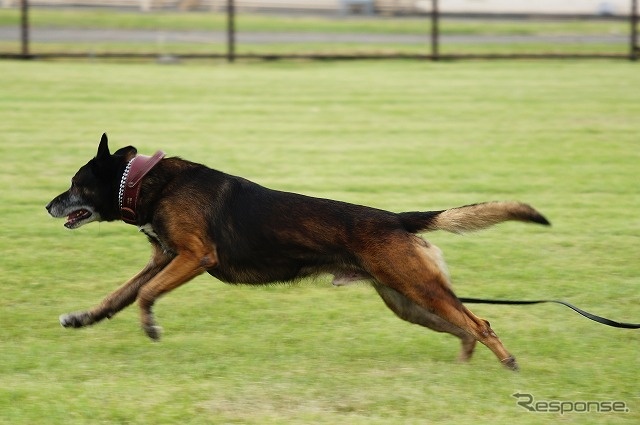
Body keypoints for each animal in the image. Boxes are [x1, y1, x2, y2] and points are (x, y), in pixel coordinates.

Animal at [46, 134, 552, 370]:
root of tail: (398, 218)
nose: (48, 206)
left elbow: (146, 295)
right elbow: (120, 295)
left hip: (419, 289)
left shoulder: (194, 257)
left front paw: (150, 326)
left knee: (480, 322)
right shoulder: (165, 259)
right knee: (465, 327)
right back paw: (462, 368)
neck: (146, 181)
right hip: (408, 301)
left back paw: (507, 363)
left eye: (75, 184)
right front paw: (82, 318)